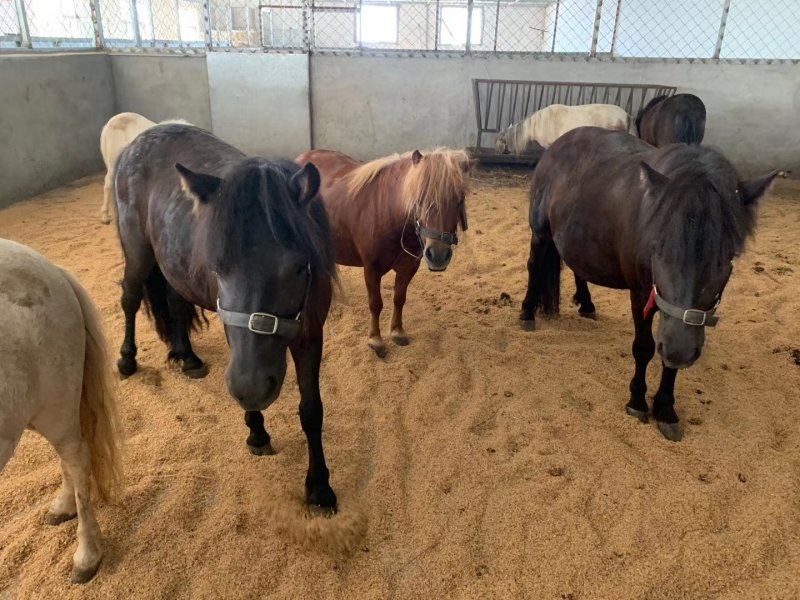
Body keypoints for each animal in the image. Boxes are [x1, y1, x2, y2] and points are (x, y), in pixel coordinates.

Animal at [0, 239, 122, 583]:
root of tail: (51, 267)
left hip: (54, 407)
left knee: (75, 456)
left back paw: (86, 556)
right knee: (67, 455)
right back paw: (63, 506)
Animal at [114, 123, 338, 510]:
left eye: (299, 266)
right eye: (218, 268)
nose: (252, 389)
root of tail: (138, 140)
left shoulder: (311, 334)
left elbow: (312, 410)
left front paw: (319, 487)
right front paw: (257, 431)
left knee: (174, 301)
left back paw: (187, 356)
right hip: (138, 253)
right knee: (129, 298)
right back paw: (127, 360)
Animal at [296, 148, 473, 358]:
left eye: (459, 199)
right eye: (419, 199)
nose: (437, 255)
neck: (389, 212)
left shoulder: (408, 267)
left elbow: (399, 299)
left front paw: (397, 331)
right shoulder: (372, 269)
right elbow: (376, 303)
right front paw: (376, 340)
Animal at [519, 127, 777, 441]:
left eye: (726, 256)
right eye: (658, 248)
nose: (680, 351)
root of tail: (559, 142)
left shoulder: (677, 324)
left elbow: (668, 361)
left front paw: (665, 409)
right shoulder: (642, 294)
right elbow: (644, 348)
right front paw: (638, 402)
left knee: (578, 267)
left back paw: (587, 305)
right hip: (540, 231)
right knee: (535, 266)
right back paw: (527, 313)